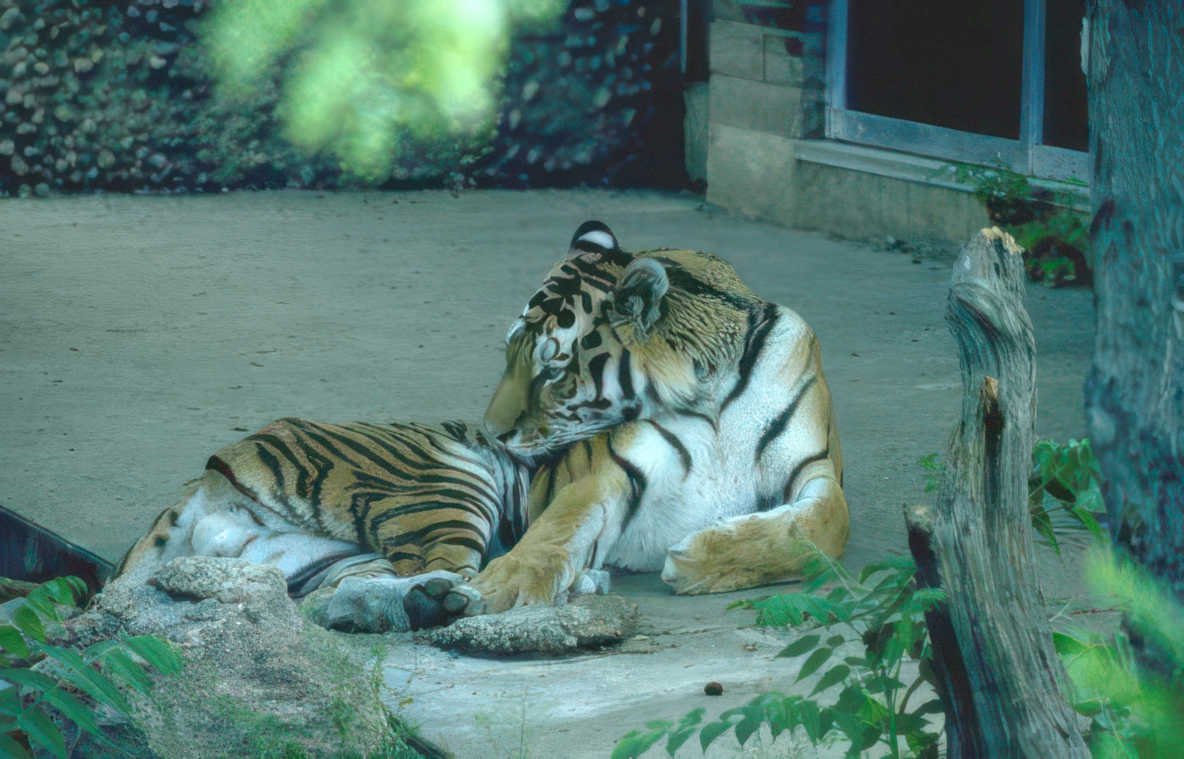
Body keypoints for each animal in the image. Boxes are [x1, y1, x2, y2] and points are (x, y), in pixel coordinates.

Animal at [430, 220, 851, 617]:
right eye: (509, 352)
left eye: (552, 370)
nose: (494, 433)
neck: (710, 387)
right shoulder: (609, 472)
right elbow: (556, 528)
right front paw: (495, 589)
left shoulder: (818, 469)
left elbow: (823, 529)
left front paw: (695, 562)